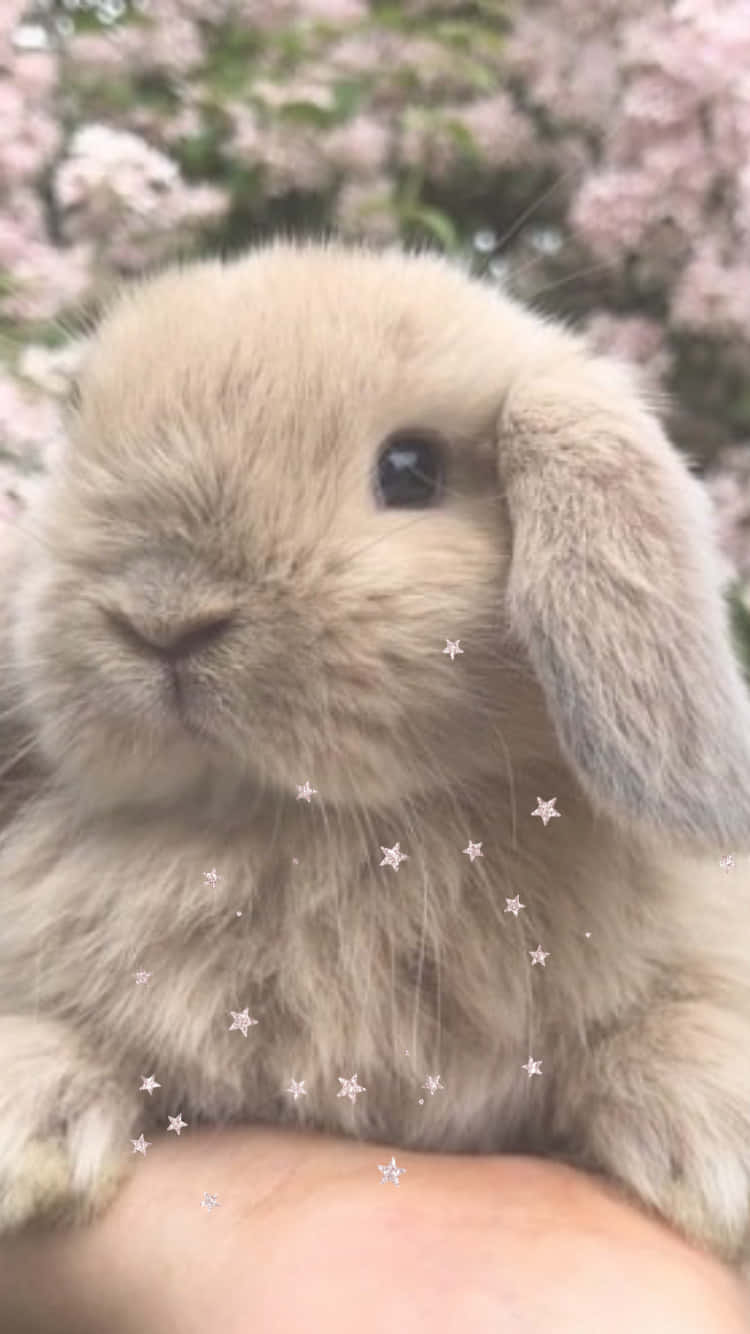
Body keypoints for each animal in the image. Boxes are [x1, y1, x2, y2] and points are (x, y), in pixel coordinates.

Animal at [2, 234, 750, 1272]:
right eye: (77, 435)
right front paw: (26, 1110)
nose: (161, 617)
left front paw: (717, 1141)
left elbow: (669, 1021)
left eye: (409, 469)